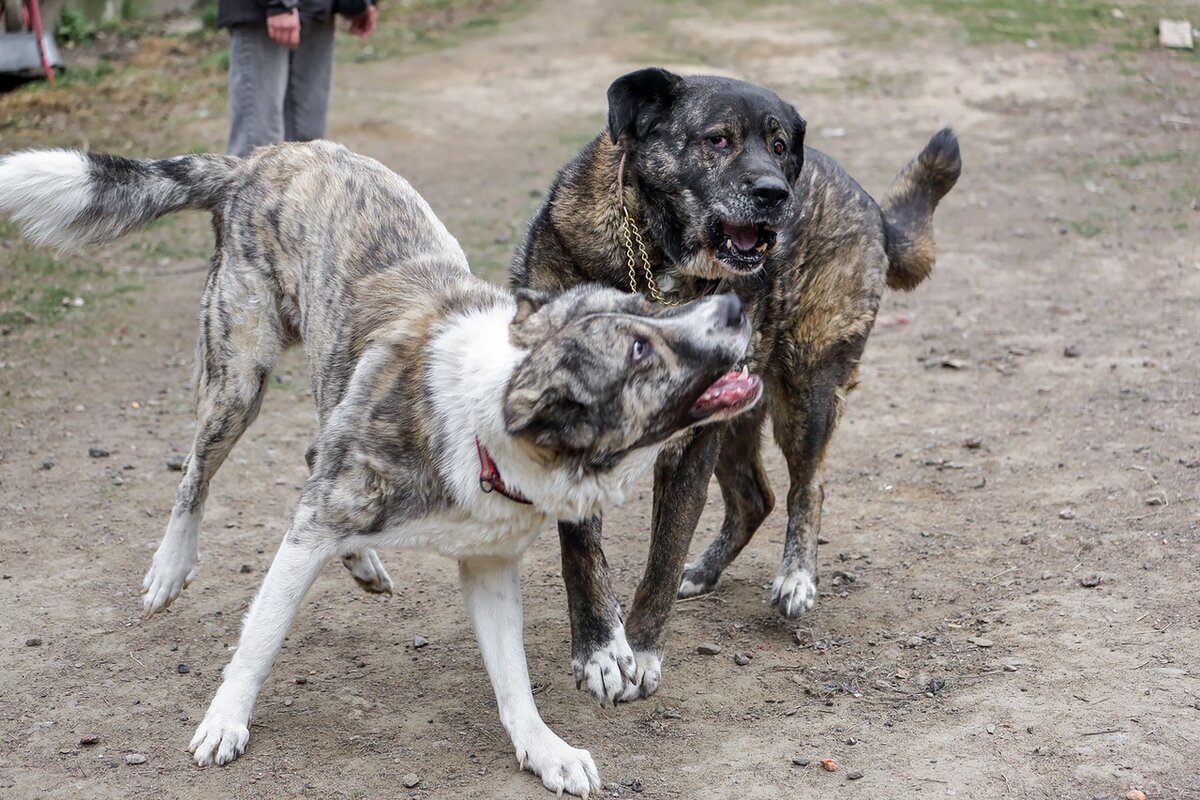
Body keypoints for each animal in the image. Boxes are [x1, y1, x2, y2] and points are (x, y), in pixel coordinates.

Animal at [0, 140, 763, 796]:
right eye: (637, 351)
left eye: (645, 309)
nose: (733, 305)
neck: (481, 419)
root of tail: (262, 156)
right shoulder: (311, 528)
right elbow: (259, 640)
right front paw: (225, 720)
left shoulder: (488, 566)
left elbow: (514, 682)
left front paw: (544, 750)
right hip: (238, 380)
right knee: (196, 471)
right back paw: (170, 565)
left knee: (313, 452)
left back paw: (361, 561)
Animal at [511, 70, 960, 705]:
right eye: (717, 140)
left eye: (778, 146)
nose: (776, 194)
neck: (660, 270)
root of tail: (869, 202)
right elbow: (580, 549)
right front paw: (600, 649)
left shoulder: (691, 445)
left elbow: (664, 554)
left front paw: (642, 650)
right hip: (742, 413)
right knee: (756, 497)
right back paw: (707, 570)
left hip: (805, 392)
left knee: (806, 488)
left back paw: (796, 577)